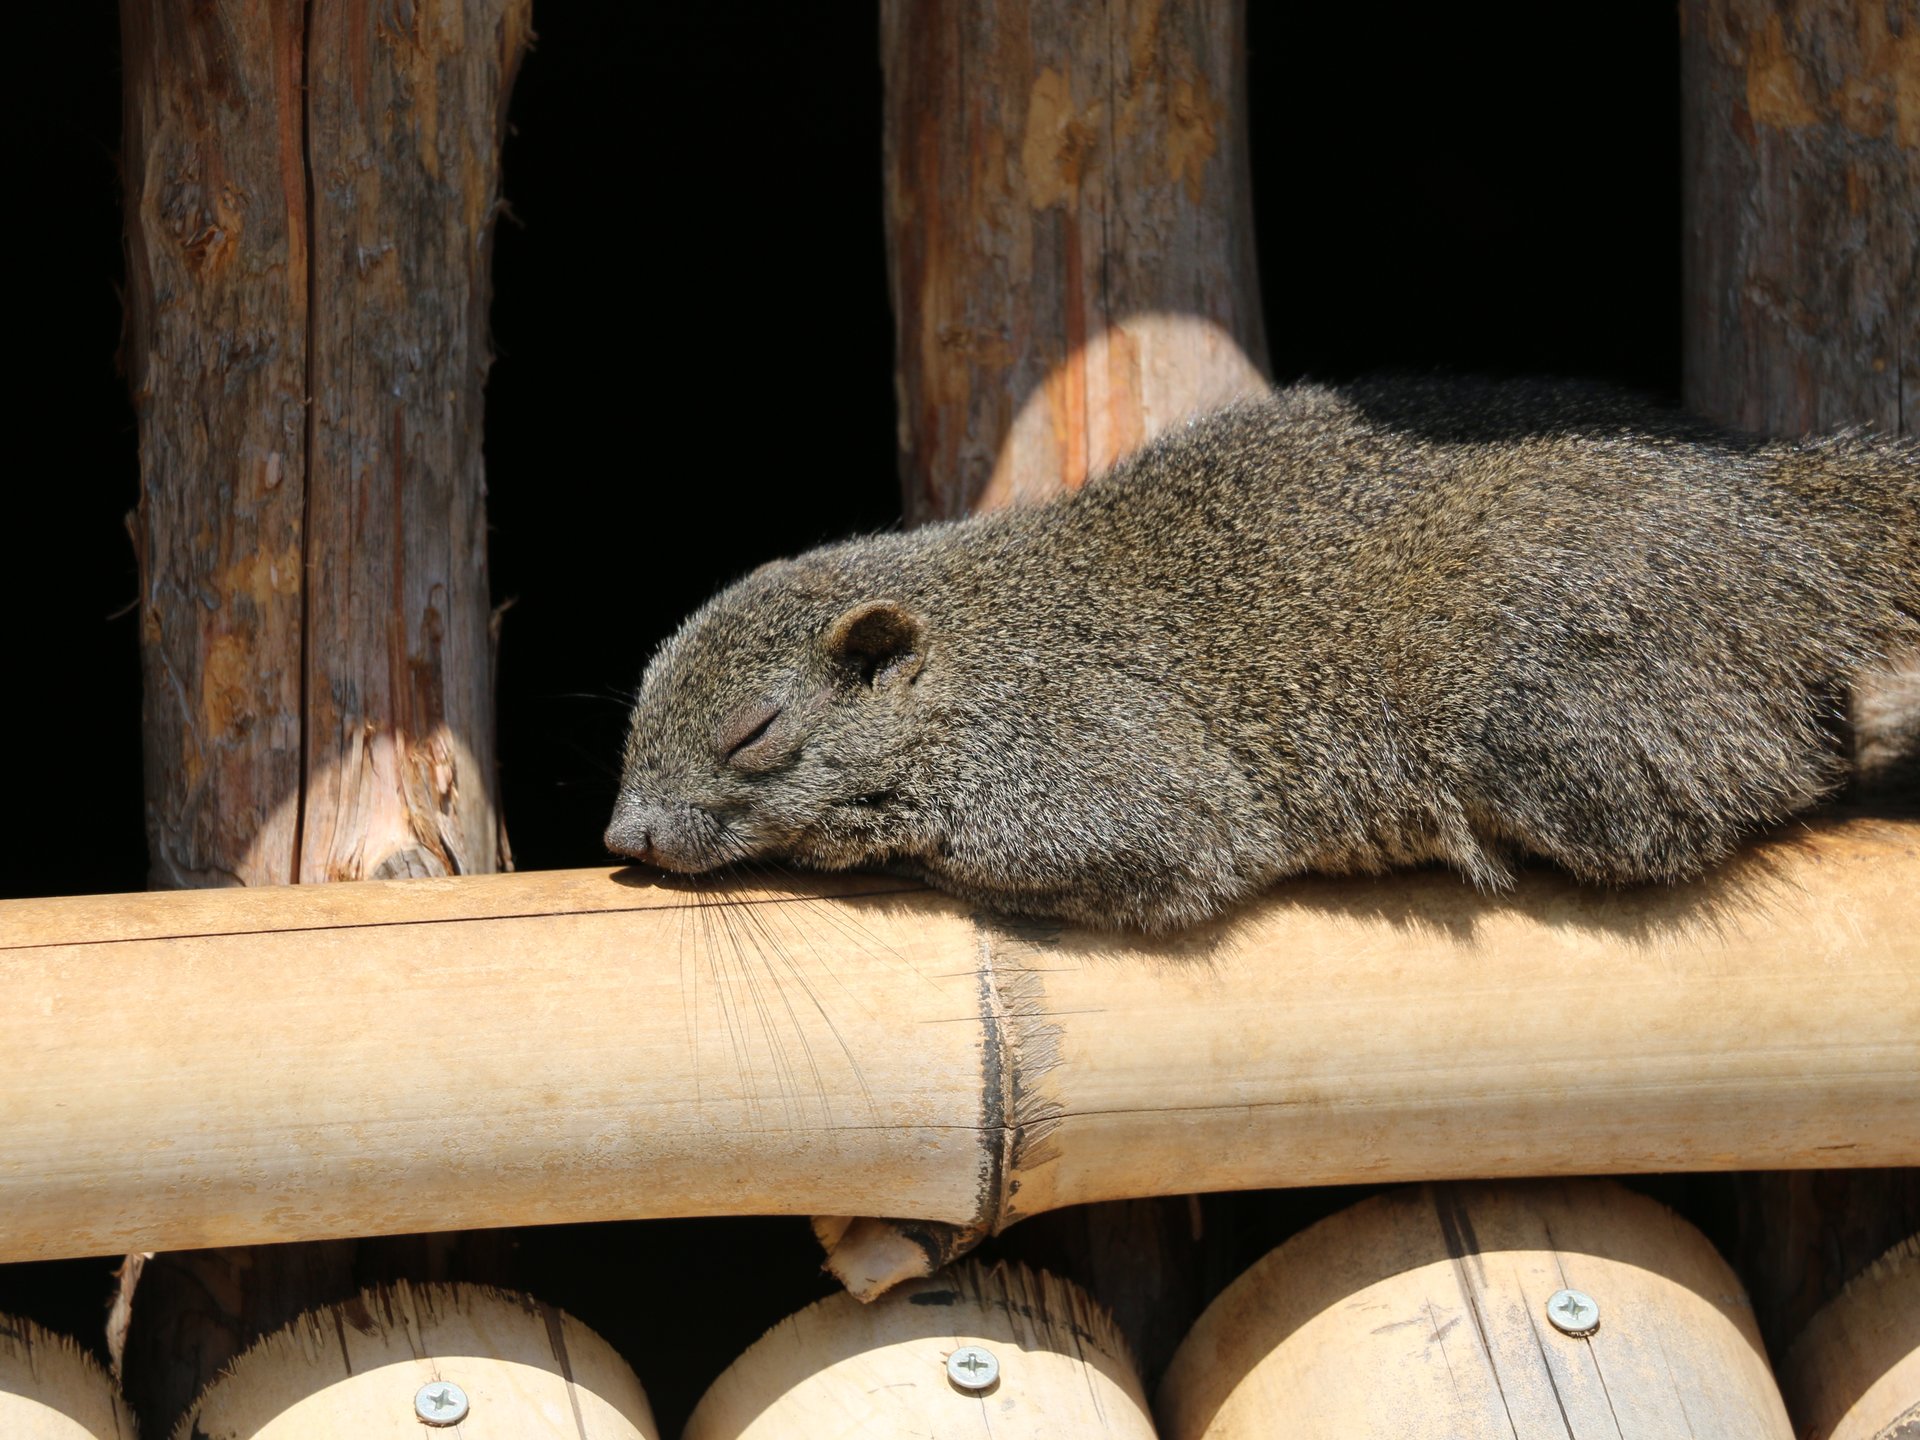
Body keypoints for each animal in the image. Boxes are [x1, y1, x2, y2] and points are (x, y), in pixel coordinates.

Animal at [610, 374, 1920, 936]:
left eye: (753, 734)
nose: (625, 835)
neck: (979, 654)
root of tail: (1788, 518)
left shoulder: (1096, 766)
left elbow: (1123, 856)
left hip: (1564, 718)